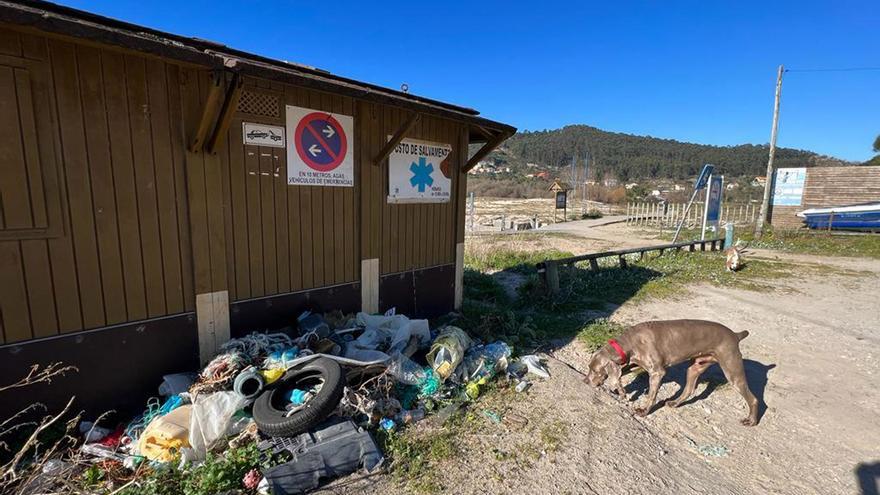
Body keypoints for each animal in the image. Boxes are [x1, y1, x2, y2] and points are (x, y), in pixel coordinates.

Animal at [580, 322, 760, 426]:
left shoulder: (657, 372)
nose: (585, 381)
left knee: (753, 398)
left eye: (595, 370)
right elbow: (621, 375)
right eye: (589, 368)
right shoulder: (632, 363)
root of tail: (736, 335)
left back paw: (751, 421)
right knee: (688, 389)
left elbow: (651, 395)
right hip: (696, 366)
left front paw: (643, 411)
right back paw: (673, 403)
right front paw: (621, 391)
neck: (630, 342)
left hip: (731, 369)